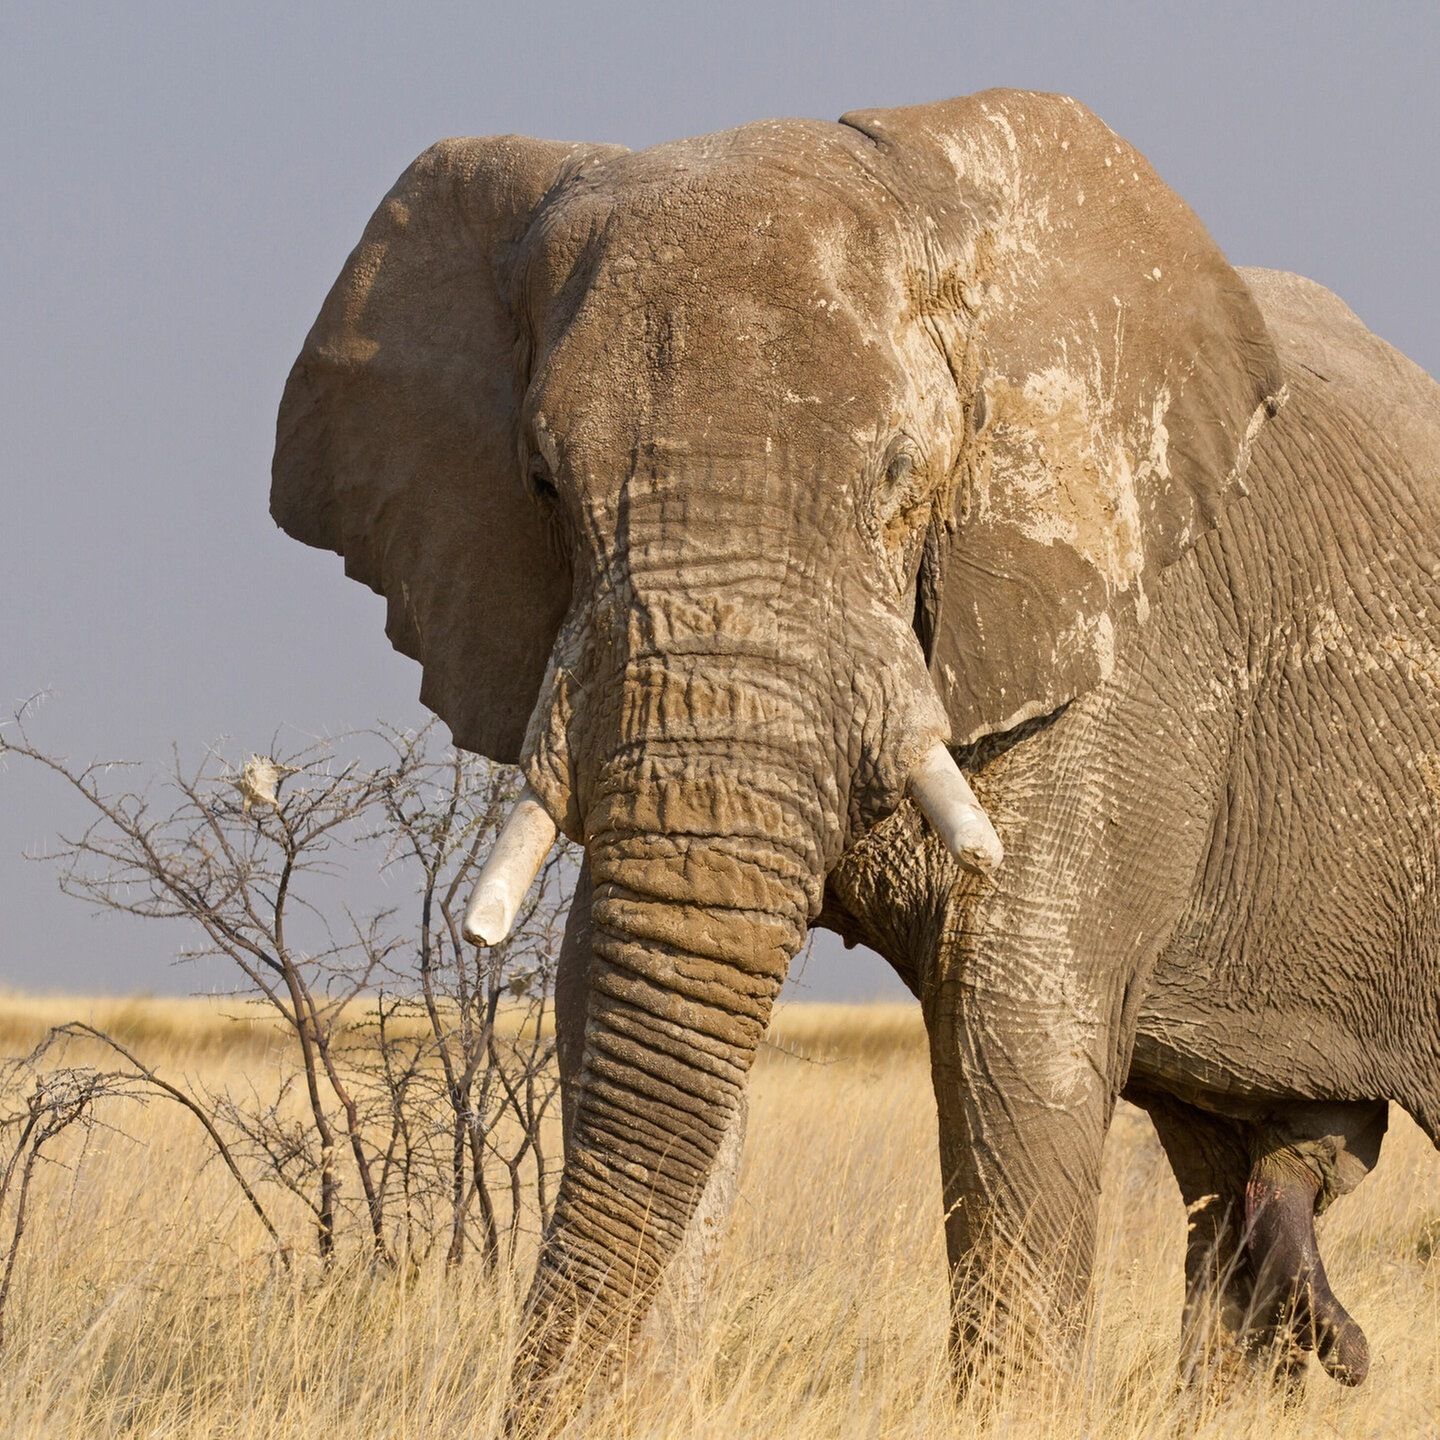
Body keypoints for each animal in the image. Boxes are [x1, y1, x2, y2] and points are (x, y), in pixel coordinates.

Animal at [269, 88, 1440, 1418]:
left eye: (901, 477)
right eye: (541, 483)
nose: (1355, 1353)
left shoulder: (1128, 646)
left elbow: (1016, 1031)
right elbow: (627, 1004)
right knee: (1221, 1176)